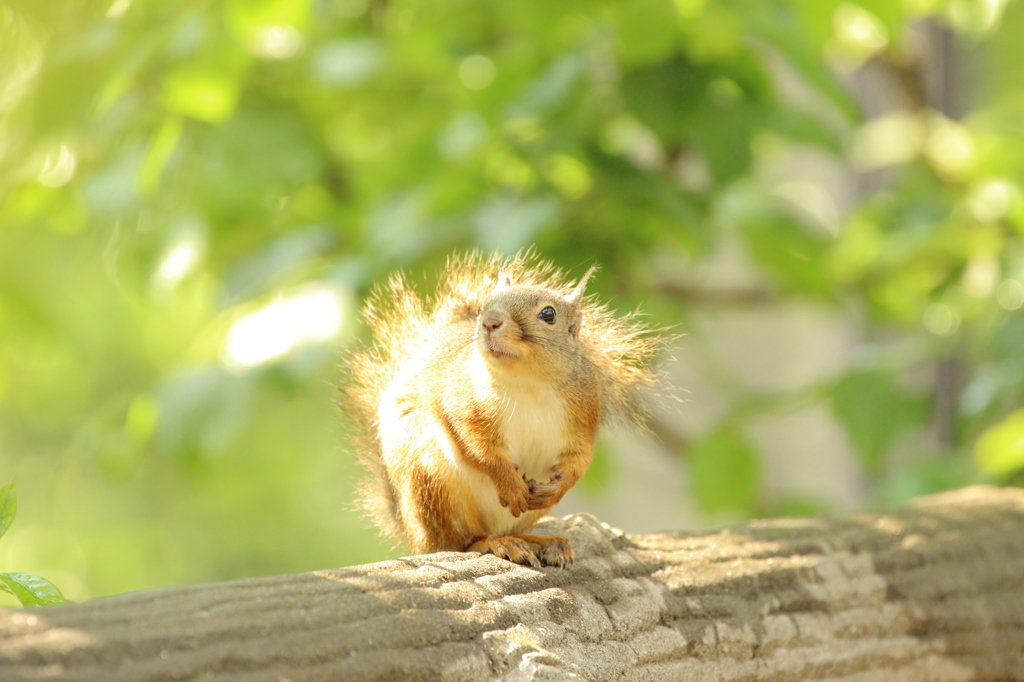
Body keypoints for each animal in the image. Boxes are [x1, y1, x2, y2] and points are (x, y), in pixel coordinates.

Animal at [344, 251, 663, 565]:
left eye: (548, 314)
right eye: (482, 306)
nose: (490, 321)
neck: (529, 382)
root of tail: (413, 533)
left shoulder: (584, 416)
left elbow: (579, 461)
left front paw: (556, 489)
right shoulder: (462, 402)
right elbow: (478, 448)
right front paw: (510, 484)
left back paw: (541, 541)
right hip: (430, 475)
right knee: (457, 542)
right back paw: (494, 542)